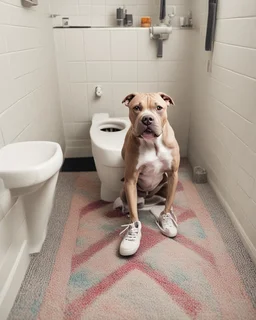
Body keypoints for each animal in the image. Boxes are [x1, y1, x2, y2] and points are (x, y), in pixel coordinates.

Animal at [116, 92, 180, 255]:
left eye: (159, 108)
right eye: (137, 108)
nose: (147, 119)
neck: (153, 143)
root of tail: (148, 197)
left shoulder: (173, 174)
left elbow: (168, 205)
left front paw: (166, 219)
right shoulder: (131, 179)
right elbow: (134, 214)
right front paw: (132, 232)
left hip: (165, 187)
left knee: (167, 198)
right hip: (124, 190)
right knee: (129, 203)